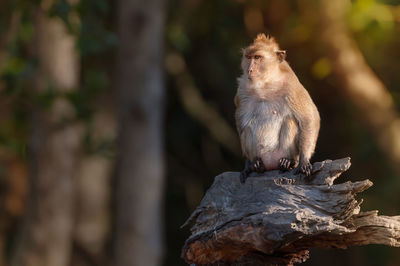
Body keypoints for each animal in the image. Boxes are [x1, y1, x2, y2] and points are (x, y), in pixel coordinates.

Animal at [234, 33, 318, 183]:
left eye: (257, 57)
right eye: (249, 57)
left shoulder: (292, 86)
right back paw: (256, 164)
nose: (250, 69)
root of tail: (270, 164)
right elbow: (241, 124)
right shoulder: (242, 91)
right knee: (247, 129)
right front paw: (248, 164)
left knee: (290, 121)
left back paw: (288, 162)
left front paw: (304, 161)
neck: (266, 83)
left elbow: (309, 118)